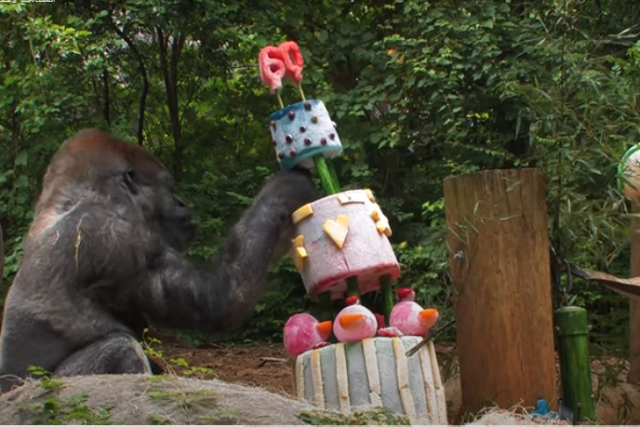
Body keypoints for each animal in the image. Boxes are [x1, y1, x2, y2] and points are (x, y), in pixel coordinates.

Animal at [0, 129, 318, 393]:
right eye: (168, 188)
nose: (181, 202)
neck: (73, 198)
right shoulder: (118, 237)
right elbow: (220, 299)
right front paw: (285, 190)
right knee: (123, 349)